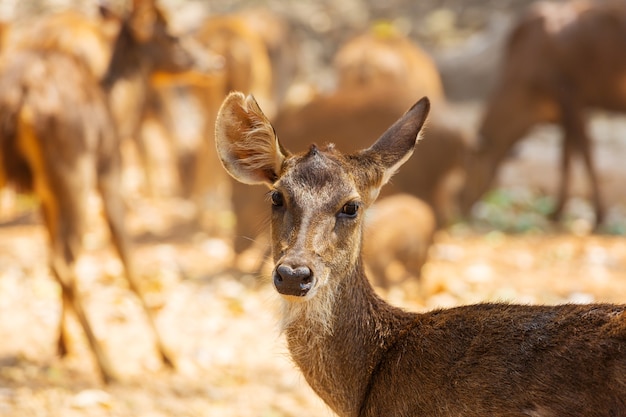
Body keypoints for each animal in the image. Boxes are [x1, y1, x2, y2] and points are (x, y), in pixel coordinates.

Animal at [0, 0, 193, 384]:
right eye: (173, 35)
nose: (210, 60)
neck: (114, 107)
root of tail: (22, 98)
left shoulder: (46, 193)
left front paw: (62, 345)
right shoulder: (110, 172)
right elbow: (128, 260)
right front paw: (168, 355)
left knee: (59, 258)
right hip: (76, 171)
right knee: (63, 260)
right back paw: (108, 366)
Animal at [458, 0, 624, 228]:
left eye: (469, 165)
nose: (459, 201)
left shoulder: (573, 98)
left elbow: (585, 155)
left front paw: (599, 216)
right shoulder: (565, 112)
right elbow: (566, 158)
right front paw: (557, 211)